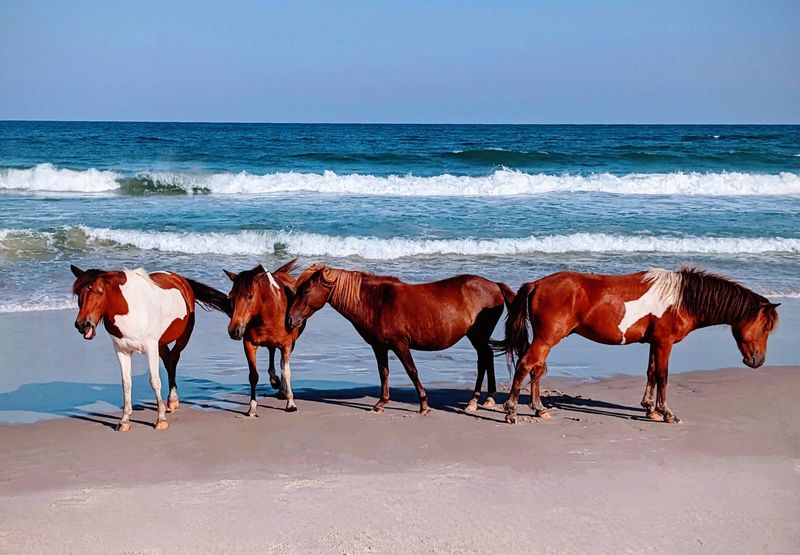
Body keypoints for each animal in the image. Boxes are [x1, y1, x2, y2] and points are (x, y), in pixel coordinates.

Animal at [70, 265, 230, 431]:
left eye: (99, 291)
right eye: (79, 294)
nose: (82, 325)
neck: (129, 309)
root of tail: (180, 279)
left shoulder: (151, 348)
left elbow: (154, 381)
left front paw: (161, 419)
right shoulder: (122, 350)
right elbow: (126, 382)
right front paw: (124, 420)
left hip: (182, 337)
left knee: (174, 359)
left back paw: (172, 400)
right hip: (161, 343)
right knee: (169, 360)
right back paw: (171, 401)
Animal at [223, 259, 305, 415]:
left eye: (250, 296)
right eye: (230, 296)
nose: (234, 330)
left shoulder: (286, 345)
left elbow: (286, 371)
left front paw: (291, 403)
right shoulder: (248, 344)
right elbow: (253, 376)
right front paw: (252, 408)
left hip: (291, 344)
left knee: (281, 363)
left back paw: (282, 389)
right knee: (271, 353)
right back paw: (275, 381)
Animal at [286, 264, 516, 414]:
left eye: (306, 290)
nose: (290, 319)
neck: (375, 301)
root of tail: (494, 285)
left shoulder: (400, 344)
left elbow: (412, 371)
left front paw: (424, 404)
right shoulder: (379, 347)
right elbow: (384, 372)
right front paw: (381, 403)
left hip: (477, 335)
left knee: (483, 359)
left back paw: (476, 400)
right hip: (476, 336)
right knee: (486, 357)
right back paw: (486, 398)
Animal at [493, 268, 780, 425]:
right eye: (765, 326)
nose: (757, 360)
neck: (681, 299)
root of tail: (537, 284)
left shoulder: (655, 343)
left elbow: (651, 373)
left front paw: (650, 409)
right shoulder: (664, 343)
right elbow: (663, 375)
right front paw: (666, 413)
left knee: (537, 369)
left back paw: (539, 409)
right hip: (547, 337)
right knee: (526, 365)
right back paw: (511, 412)